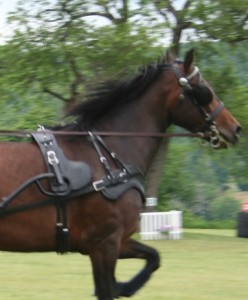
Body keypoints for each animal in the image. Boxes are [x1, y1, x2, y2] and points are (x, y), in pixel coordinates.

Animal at [0, 48, 242, 298]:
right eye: (204, 90)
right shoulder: (104, 243)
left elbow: (154, 257)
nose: (235, 128)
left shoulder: (119, 240)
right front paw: (122, 287)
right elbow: (106, 289)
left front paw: (124, 286)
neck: (108, 157)